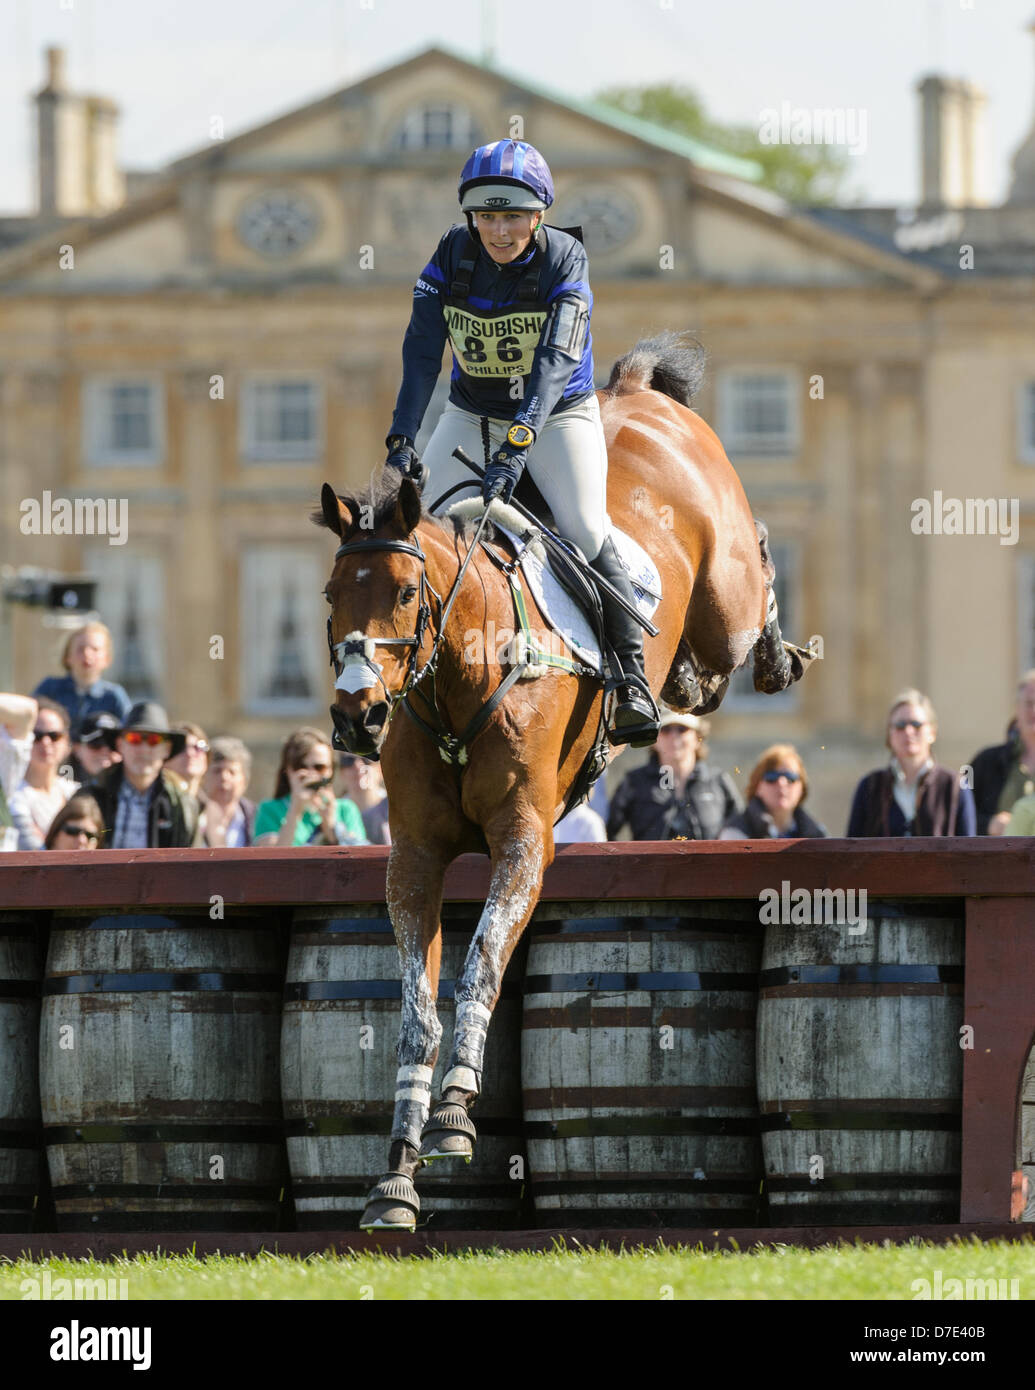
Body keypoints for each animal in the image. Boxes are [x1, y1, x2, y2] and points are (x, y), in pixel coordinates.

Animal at [311, 333, 811, 1228]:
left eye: (404, 592)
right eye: (331, 596)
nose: (356, 717)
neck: (460, 682)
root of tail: (635, 393)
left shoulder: (521, 840)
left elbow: (479, 961)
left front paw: (453, 1114)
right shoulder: (414, 860)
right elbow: (412, 1010)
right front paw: (395, 1175)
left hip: (723, 599)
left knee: (746, 584)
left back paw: (765, 654)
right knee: (699, 673)